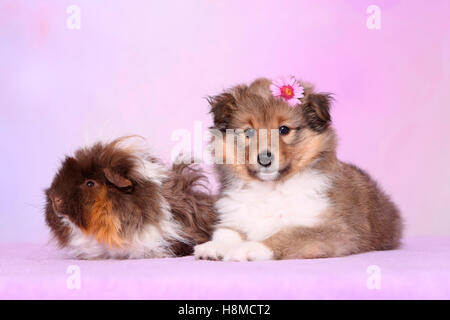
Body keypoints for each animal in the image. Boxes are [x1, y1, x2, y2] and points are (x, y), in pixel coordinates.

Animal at [193, 78, 400, 262]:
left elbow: (286, 234)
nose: (264, 159)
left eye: (284, 130)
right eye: (249, 132)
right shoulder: (235, 215)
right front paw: (213, 246)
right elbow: (227, 232)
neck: (269, 190)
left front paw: (248, 249)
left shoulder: (334, 230)